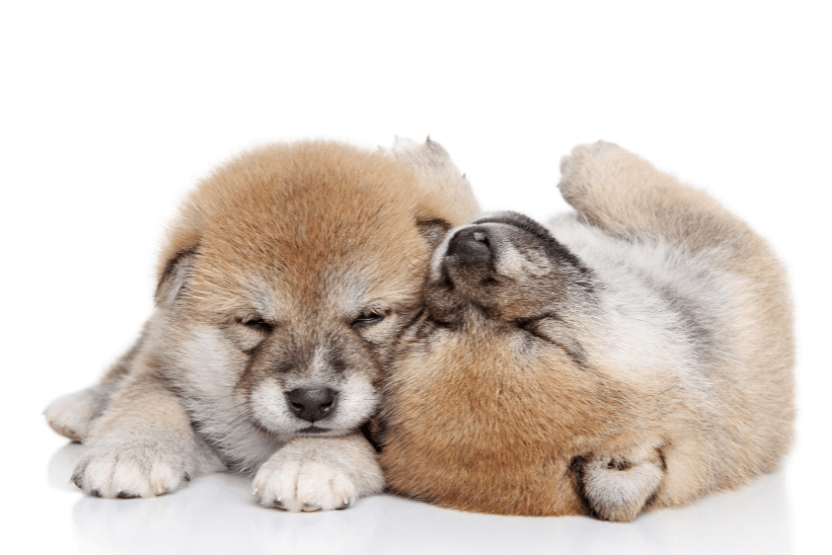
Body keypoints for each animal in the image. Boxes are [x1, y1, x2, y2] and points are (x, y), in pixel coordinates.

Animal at [45, 137, 480, 510]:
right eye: (255, 322)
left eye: (369, 317)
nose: (311, 400)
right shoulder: (169, 363)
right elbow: (147, 396)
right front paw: (129, 451)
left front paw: (310, 463)